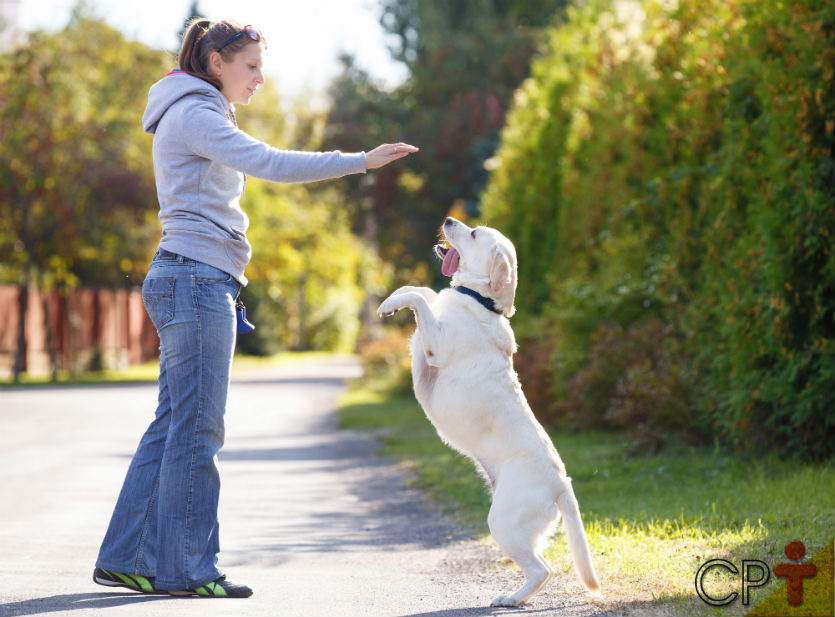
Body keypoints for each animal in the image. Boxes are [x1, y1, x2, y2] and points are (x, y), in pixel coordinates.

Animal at [378, 217, 600, 608]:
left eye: (474, 234)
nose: (449, 220)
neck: (478, 300)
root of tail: (562, 483)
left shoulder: (435, 346)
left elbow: (422, 298)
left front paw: (396, 300)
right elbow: (424, 290)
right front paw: (393, 299)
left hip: (503, 522)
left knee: (543, 570)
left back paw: (509, 599)